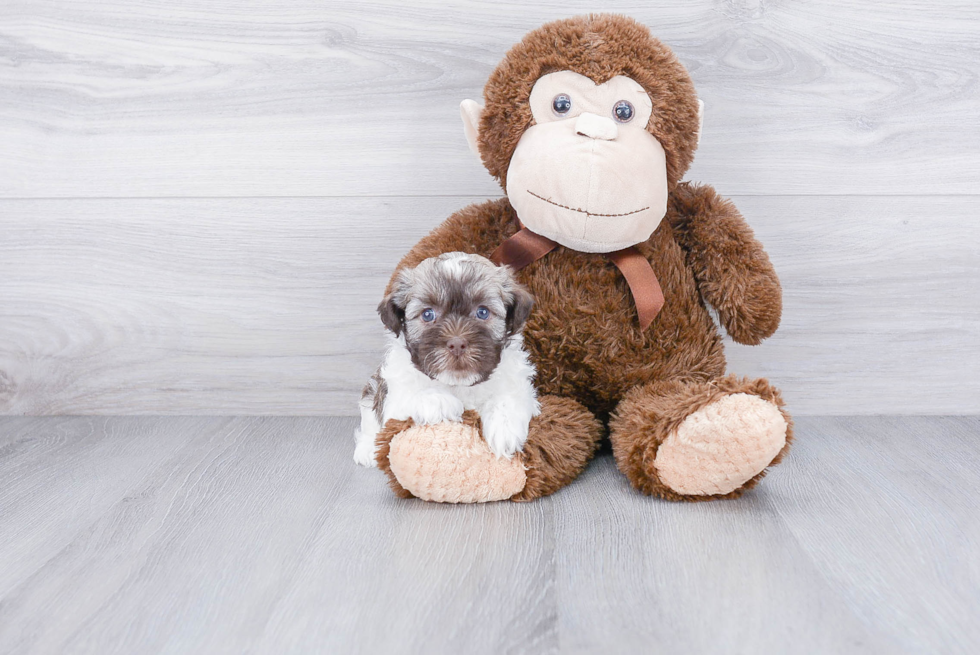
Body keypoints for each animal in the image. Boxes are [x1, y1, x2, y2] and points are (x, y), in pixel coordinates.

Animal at [352, 250, 540, 466]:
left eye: (482, 312)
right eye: (428, 314)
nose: (457, 344)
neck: (458, 384)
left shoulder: (520, 385)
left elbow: (509, 398)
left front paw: (504, 429)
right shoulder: (394, 397)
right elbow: (412, 396)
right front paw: (442, 401)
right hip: (373, 389)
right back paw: (367, 449)